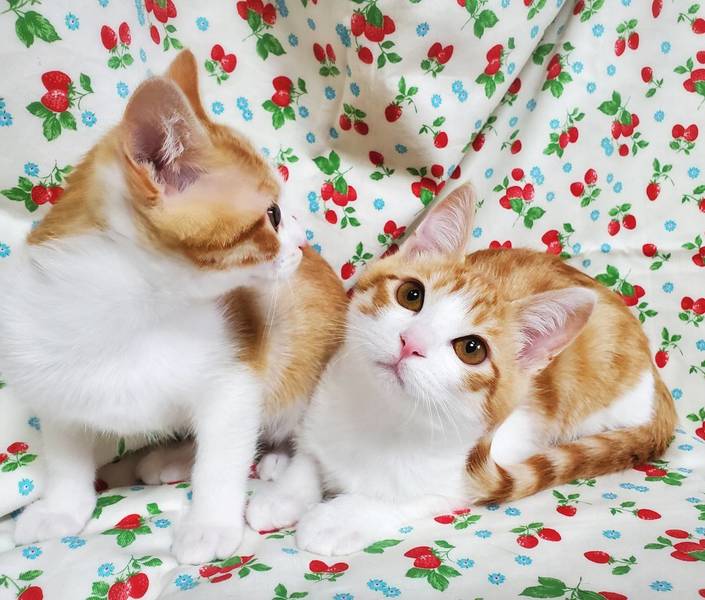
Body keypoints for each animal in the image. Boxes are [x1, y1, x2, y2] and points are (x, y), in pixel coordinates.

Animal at [0, 50, 347, 564]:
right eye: (273, 215)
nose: (304, 244)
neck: (135, 313)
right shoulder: (47, 369)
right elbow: (64, 451)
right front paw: (62, 508)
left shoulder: (236, 376)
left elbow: (222, 456)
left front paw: (209, 525)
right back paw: (172, 458)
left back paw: (280, 476)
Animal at [243, 182, 677, 555]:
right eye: (411, 295)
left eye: (472, 349)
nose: (411, 343)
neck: (383, 415)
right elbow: (310, 458)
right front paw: (283, 495)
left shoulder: (469, 474)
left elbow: (400, 500)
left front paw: (336, 520)